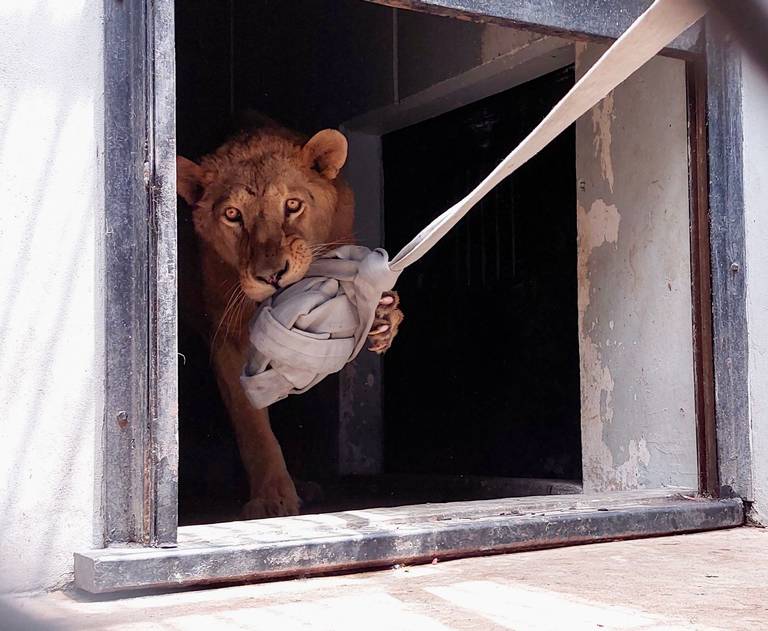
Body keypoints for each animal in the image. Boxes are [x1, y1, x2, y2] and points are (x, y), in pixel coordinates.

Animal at [178, 118, 404, 520]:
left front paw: (383, 316)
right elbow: (252, 423)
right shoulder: (228, 337)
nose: (272, 276)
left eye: (292, 205)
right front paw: (273, 497)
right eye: (232, 215)